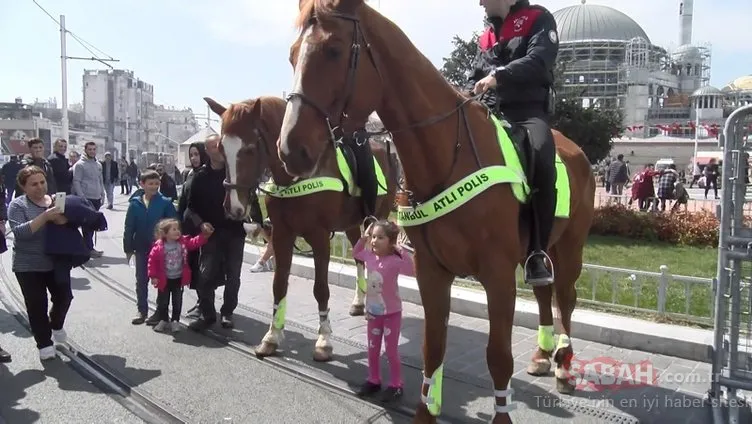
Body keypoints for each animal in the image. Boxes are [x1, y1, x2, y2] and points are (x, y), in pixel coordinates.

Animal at [203, 95, 396, 362]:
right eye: (221, 148)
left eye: (250, 149)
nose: (234, 207)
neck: (295, 176)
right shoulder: (282, 235)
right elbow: (278, 285)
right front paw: (271, 337)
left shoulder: (320, 237)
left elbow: (321, 289)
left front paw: (324, 340)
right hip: (352, 225)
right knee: (360, 259)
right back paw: (359, 302)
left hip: (379, 219)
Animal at [280, 0, 596, 424]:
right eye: (292, 54)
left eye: (332, 50)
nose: (290, 148)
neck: (450, 152)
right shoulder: (432, 270)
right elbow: (433, 347)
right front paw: (426, 410)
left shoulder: (497, 275)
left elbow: (498, 357)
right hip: (540, 249)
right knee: (545, 293)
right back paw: (543, 356)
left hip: (571, 248)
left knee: (565, 298)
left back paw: (562, 364)